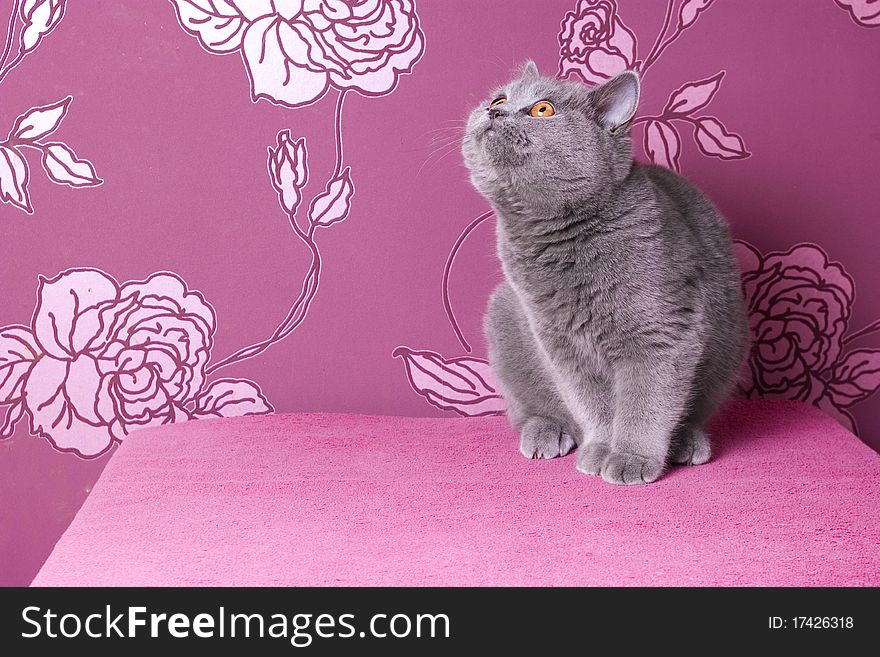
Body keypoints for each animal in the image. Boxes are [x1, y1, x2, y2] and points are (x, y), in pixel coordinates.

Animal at [464, 61, 744, 482]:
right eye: (498, 99)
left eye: (542, 110)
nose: (495, 112)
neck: (557, 237)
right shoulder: (560, 342)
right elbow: (591, 403)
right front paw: (599, 449)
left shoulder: (661, 333)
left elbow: (646, 402)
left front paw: (631, 458)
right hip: (504, 315)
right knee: (529, 408)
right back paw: (546, 432)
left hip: (730, 339)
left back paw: (686, 441)